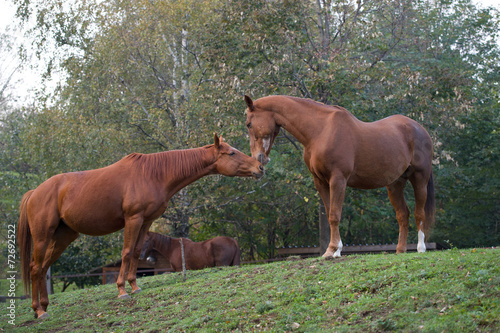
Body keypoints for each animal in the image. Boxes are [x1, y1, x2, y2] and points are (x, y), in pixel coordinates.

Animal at [17, 134, 264, 318]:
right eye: (231, 153)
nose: (260, 167)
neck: (153, 173)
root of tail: (34, 192)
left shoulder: (146, 221)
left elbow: (136, 252)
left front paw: (135, 287)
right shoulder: (133, 219)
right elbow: (126, 252)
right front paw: (122, 291)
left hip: (64, 236)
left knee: (43, 267)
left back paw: (44, 307)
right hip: (43, 236)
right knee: (35, 267)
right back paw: (39, 311)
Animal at [242, 94, 434, 258]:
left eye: (249, 124)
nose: (259, 159)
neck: (320, 131)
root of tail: (420, 129)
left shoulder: (338, 179)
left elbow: (335, 214)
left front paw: (332, 250)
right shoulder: (320, 181)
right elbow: (329, 214)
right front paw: (335, 250)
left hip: (420, 179)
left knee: (419, 213)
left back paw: (421, 248)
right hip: (394, 184)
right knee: (403, 214)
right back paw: (400, 250)